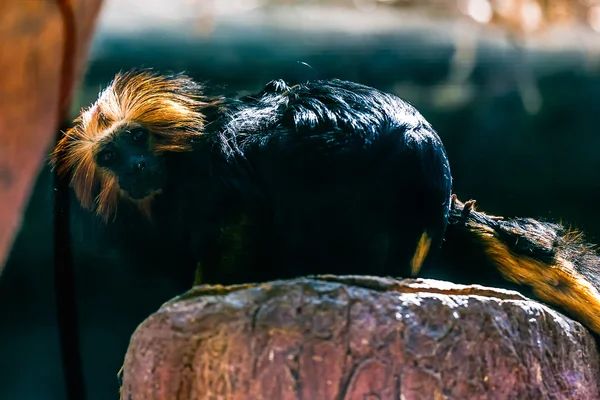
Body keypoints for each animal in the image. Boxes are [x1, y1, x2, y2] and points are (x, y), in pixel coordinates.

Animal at [51, 69, 452, 288]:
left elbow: (241, 219)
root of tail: (416, 140)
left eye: (136, 138)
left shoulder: (210, 174)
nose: (135, 166)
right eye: (109, 157)